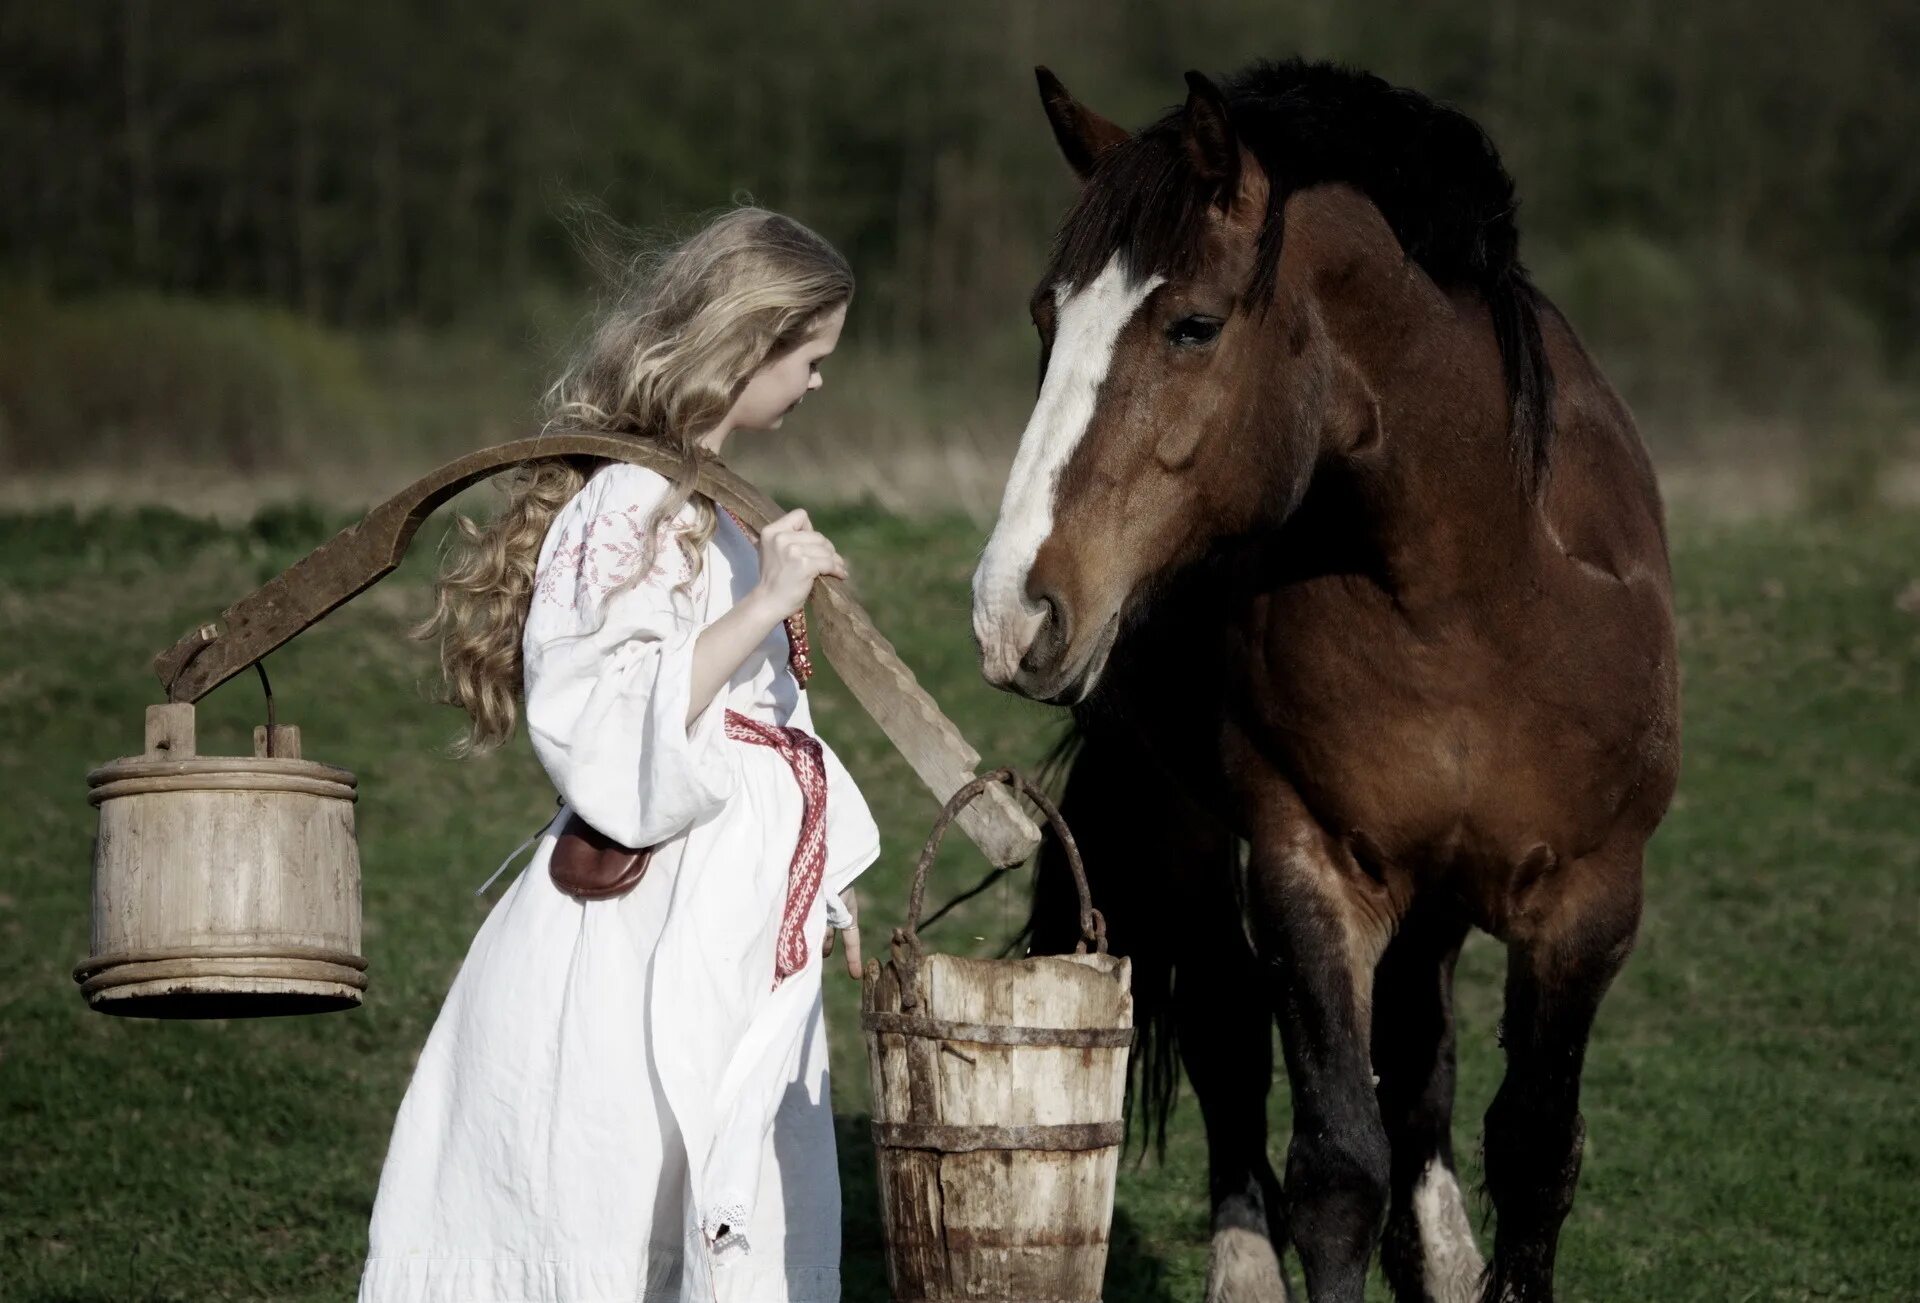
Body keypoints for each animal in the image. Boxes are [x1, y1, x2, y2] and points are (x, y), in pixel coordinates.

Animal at [975, 61, 1681, 1303]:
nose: (1012, 610)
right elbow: (1338, 1163)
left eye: (1195, 324)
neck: (1479, 593)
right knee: (1227, 1026)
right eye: (1047, 319)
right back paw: (1248, 1266)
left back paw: (1439, 1251)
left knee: (1422, 1056)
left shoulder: (1593, 900)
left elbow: (1534, 1147)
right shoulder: (1313, 869)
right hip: (1187, 820)